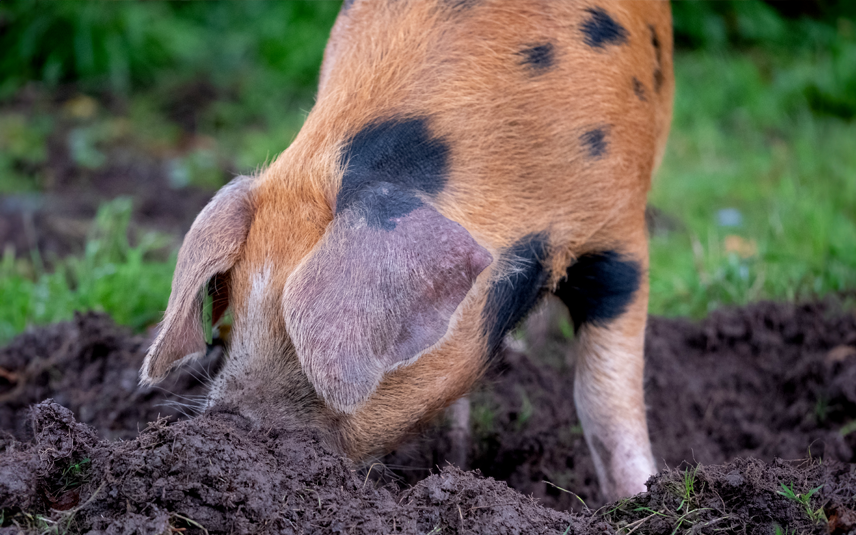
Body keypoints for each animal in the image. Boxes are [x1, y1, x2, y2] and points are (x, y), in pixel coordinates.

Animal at [142, 0, 676, 502]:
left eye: (306, 349)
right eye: (233, 315)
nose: (226, 425)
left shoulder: (619, 232)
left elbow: (605, 397)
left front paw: (636, 497)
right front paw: (456, 463)